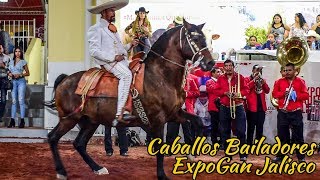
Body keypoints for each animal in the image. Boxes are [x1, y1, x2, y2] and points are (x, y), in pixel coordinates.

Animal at [47, 19, 215, 179]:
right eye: (194, 38)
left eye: (204, 38)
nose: (210, 63)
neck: (160, 76)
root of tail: (64, 80)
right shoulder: (158, 119)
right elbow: (160, 148)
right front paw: (162, 175)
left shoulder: (174, 114)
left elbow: (197, 122)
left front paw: (193, 153)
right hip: (69, 119)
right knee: (53, 138)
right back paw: (61, 171)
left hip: (89, 121)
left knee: (79, 143)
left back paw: (98, 168)